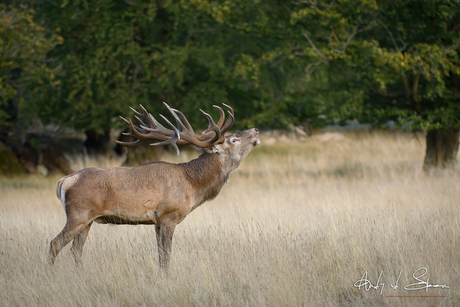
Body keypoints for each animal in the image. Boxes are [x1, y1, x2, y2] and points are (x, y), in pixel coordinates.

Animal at [50, 103, 260, 270]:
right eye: (234, 139)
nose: (256, 130)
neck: (192, 185)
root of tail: (64, 181)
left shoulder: (157, 222)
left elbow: (160, 255)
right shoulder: (169, 216)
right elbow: (166, 256)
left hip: (87, 220)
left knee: (76, 250)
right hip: (78, 214)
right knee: (55, 244)